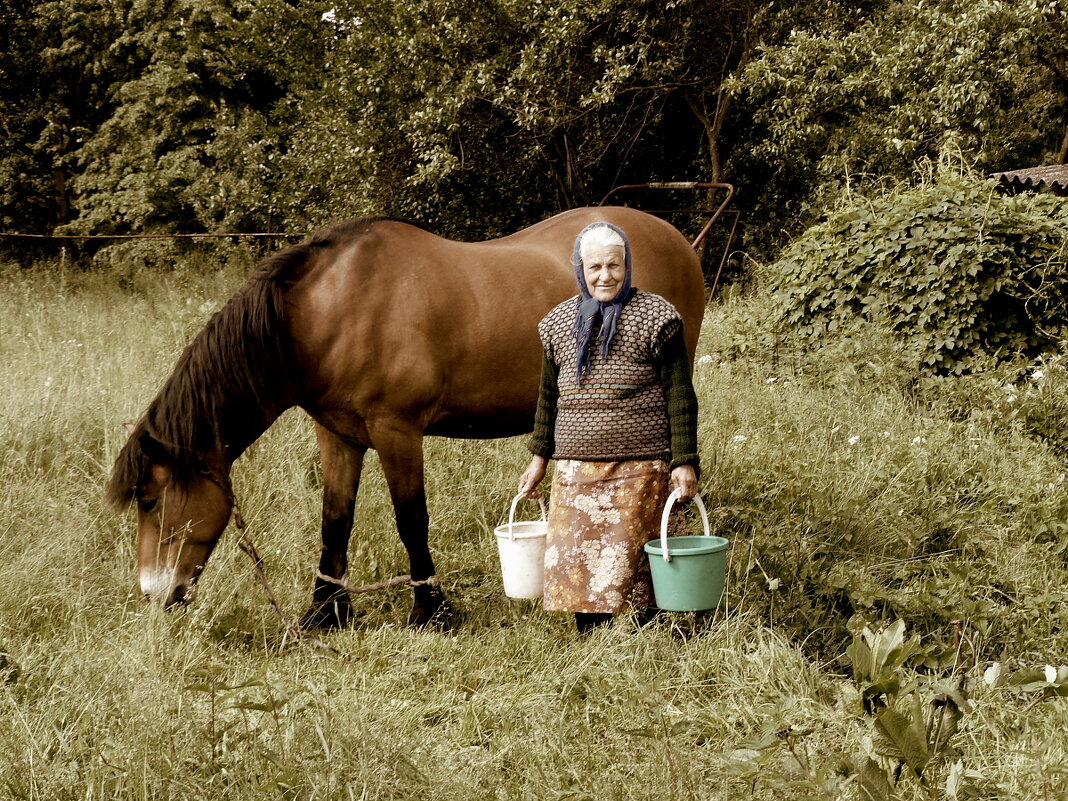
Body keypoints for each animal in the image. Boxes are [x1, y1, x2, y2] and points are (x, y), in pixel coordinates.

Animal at [106, 205, 709, 627]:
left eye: (150, 499)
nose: (155, 594)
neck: (329, 312)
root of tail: (677, 238)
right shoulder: (338, 435)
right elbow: (335, 520)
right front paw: (326, 611)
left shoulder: (397, 430)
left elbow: (410, 519)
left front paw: (430, 610)